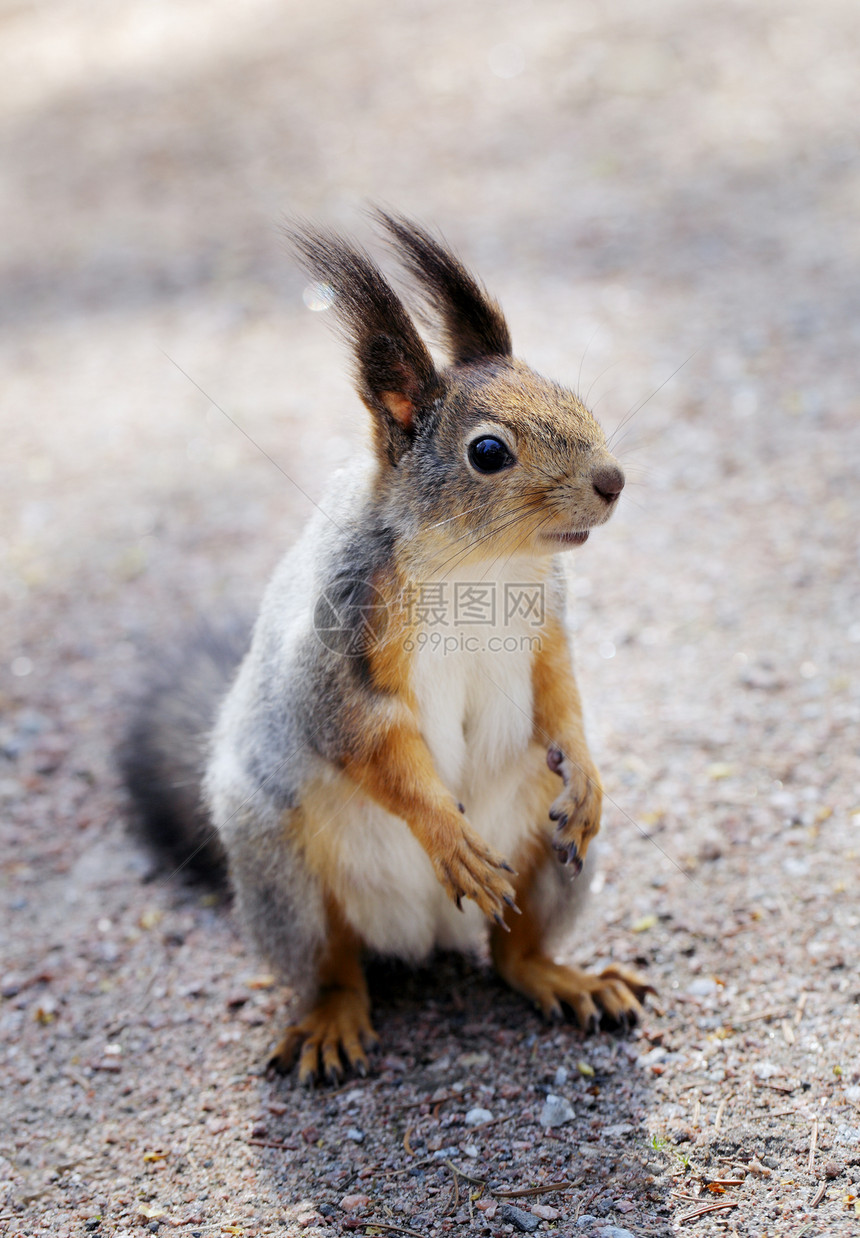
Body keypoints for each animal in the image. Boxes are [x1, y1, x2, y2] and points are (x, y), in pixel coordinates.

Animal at [121, 212, 658, 1084]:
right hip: (282, 868)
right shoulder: (340, 644)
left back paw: (565, 976)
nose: (612, 481)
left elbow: (560, 692)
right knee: (333, 964)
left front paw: (587, 773)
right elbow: (371, 744)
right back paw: (331, 1018)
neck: (480, 567)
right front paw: (448, 835)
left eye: (572, 396)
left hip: (546, 857)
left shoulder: (545, 623)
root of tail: (424, 933)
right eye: (488, 452)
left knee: (512, 953)